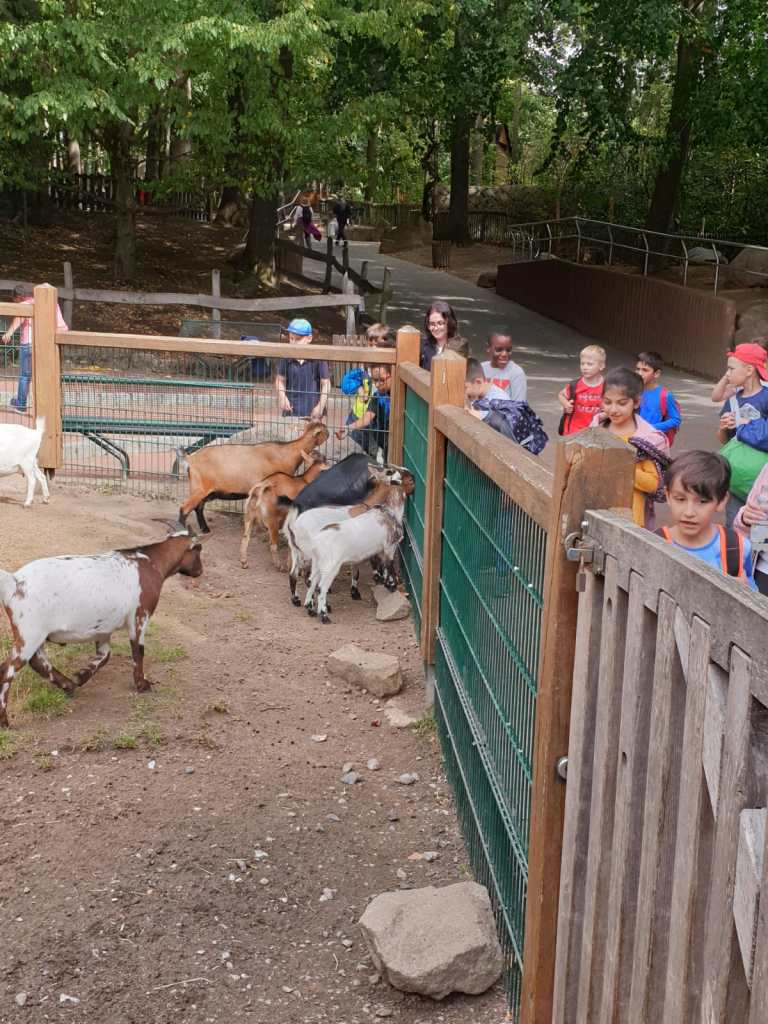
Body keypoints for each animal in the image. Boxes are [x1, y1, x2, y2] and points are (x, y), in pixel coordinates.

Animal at [0, 526, 203, 728]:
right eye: (198, 549)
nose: (200, 571)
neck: (151, 562)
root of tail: (14, 580)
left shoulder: (104, 629)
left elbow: (105, 655)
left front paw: (81, 675)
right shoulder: (139, 617)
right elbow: (138, 651)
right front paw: (142, 684)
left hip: (33, 634)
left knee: (35, 661)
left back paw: (68, 685)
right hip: (30, 634)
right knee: (8, 670)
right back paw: (4, 721)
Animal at [178, 420, 329, 533]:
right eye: (323, 430)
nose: (329, 434)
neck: (288, 452)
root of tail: (191, 459)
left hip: (205, 491)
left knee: (198, 507)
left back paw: (205, 529)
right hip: (199, 489)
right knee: (184, 508)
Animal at [283, 473, 414, 622]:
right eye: (410, 480)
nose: (413, 487)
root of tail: (293, 525)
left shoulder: (362, 553)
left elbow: (360, 571)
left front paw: (359, 590)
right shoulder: (388, 547)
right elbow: (387, 566)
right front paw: (390, 585)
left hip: (302, 555)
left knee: (300, 576)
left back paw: (303, 604)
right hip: (322, 563)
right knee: (318, 585)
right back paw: (324, 613)